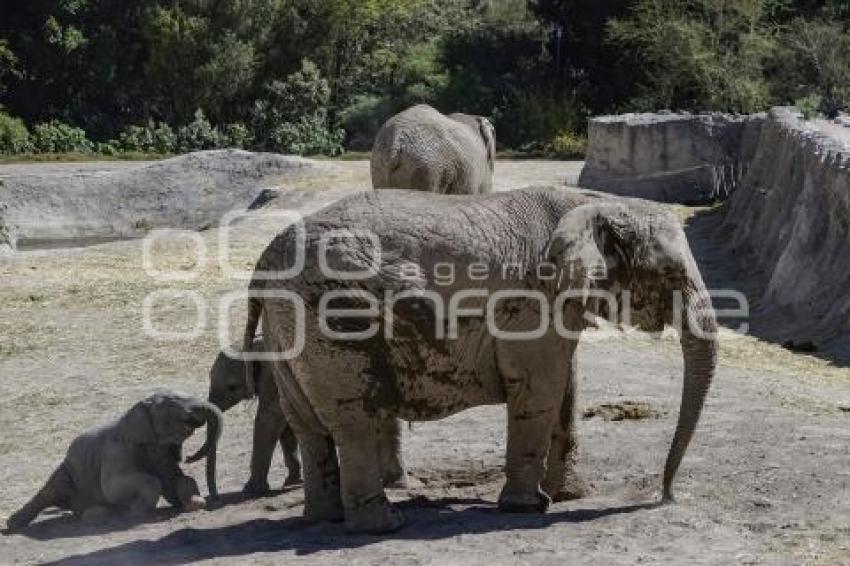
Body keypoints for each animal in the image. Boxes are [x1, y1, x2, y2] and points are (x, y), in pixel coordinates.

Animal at [7, 390, 219, 532]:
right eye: (171, 403)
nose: (189, 458)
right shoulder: (116, 451)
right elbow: (116, 487)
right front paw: (140, 513)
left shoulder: (162, 451)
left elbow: (177, 479)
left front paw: (195, 503)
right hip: (68, 471)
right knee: (49, 491)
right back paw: (12, 525)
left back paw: (99, 514)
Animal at [205, 340, 404, 494]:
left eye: (232, 387)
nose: (214, 495)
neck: (253, 346)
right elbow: (285, 427)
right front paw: (291, 482)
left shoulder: (275, 378)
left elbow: (267, 420)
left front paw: (251, 490)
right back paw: (390, 481)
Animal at [240, 189, 716, 536]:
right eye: (672, 277)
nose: (665, 495)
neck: (594, 202)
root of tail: (263, 260)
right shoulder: (532, 299)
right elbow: (540, 389)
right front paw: (529, 507)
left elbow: (566, 386)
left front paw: (572, 495)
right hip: (331, 317)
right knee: (353, 418)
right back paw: (383, 525)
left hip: (288, 325)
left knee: (305, 422)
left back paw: (323, 519)